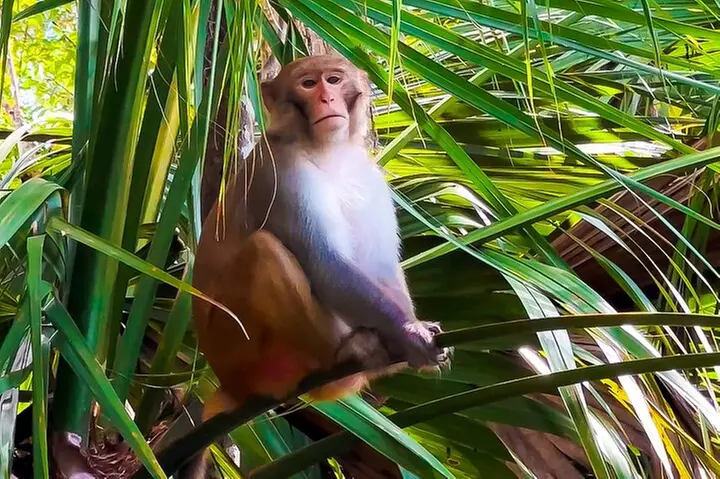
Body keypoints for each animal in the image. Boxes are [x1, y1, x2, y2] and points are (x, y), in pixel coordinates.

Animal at [184, 55, 451, 476]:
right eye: (308, 84)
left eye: (334, 80)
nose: (326, 98)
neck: (327, 151)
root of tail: (230, 383)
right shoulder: (281, 171)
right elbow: (324, 264)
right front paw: (407, 333)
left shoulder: (367, 174)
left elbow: (381, 266)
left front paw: (409, 328)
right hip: (244, 354)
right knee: (264, 252)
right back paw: (348, 354)